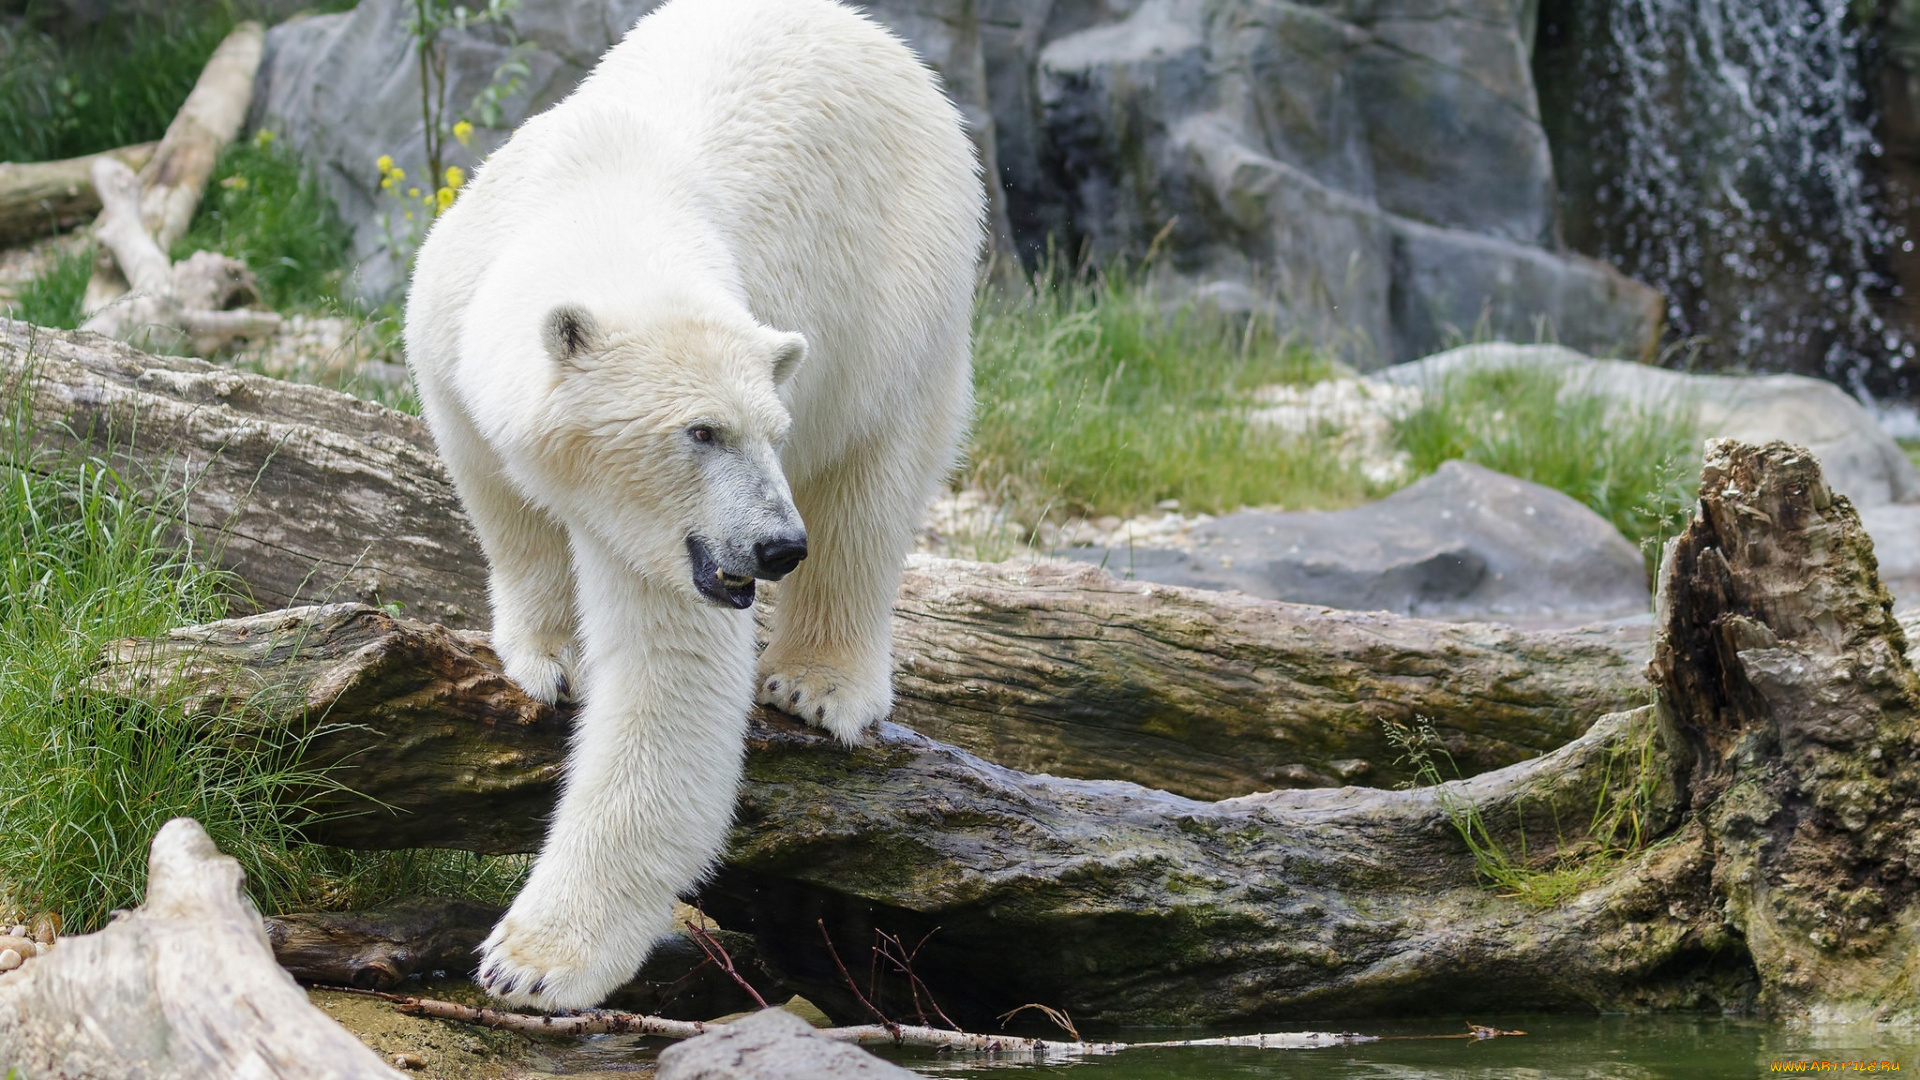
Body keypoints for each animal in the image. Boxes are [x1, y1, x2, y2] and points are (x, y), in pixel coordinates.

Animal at [401, 0, 975, 1006]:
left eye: (768, 428)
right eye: (700, 431)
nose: (777, 546)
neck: (603, 193)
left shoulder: (682, 542)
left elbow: (668, 680)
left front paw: (531, 960)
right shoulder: (450, 331)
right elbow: (506, 502)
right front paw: (552, 655)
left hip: (906, 287)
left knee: (873, 484)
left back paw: (821, 681)